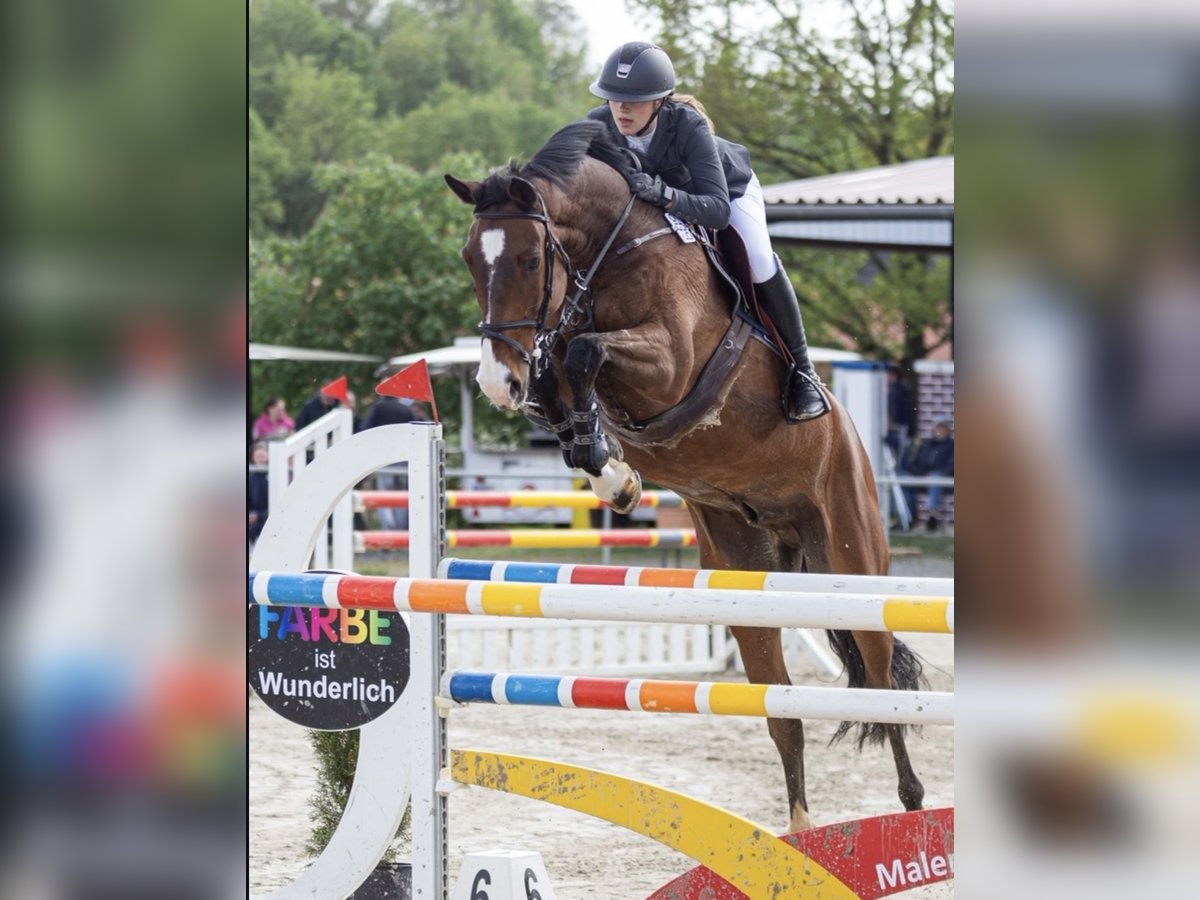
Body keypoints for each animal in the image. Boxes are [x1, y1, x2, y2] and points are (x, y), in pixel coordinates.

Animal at [446, 118, 921, 830]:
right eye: (471, 260)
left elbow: (583, 353)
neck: (609, 254)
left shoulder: (668, 364)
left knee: (882, 680)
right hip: (745, 577)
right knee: (782, 712)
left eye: (530, 261)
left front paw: (607, 468)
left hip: (853, 560)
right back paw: (799, 833)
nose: (495, 383)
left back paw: (912, 808)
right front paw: (609, 471)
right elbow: (563, 371)